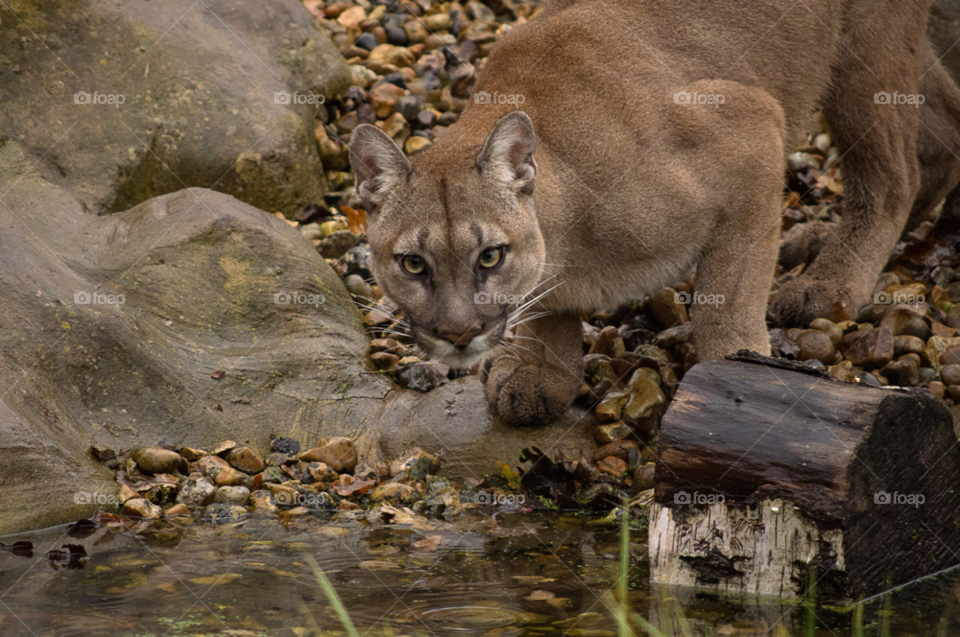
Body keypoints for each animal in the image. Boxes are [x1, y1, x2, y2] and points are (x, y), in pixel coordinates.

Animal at [352, 2, 960, 428]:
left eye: (490, 257)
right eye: (412, 265)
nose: (458, 334)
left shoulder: (751, 128)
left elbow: (728, 296)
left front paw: (737, 382)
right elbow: (547, 304)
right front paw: (541, 371)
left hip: (863, 49)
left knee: (896, 173)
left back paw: (831, 280)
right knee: (942, 134)